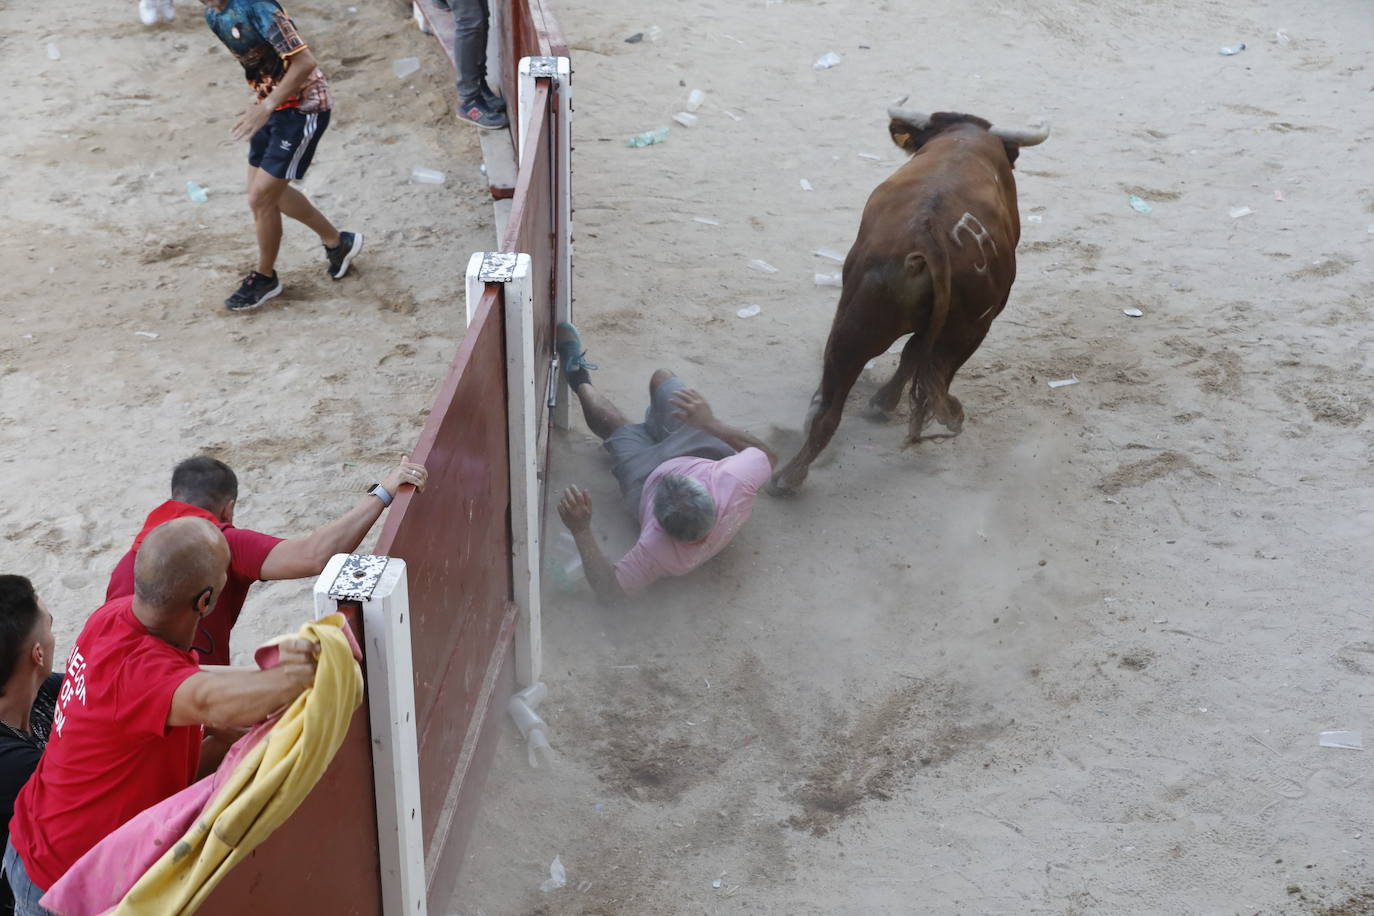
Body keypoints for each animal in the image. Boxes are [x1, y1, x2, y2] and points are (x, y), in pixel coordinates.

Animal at [769, 108, 1044, 497]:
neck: (966, 137)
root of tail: (930, 238)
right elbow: (914, 355)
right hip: (967, 331)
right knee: (926, 368)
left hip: (857, 323)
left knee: (831, 406)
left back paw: (789, 475)